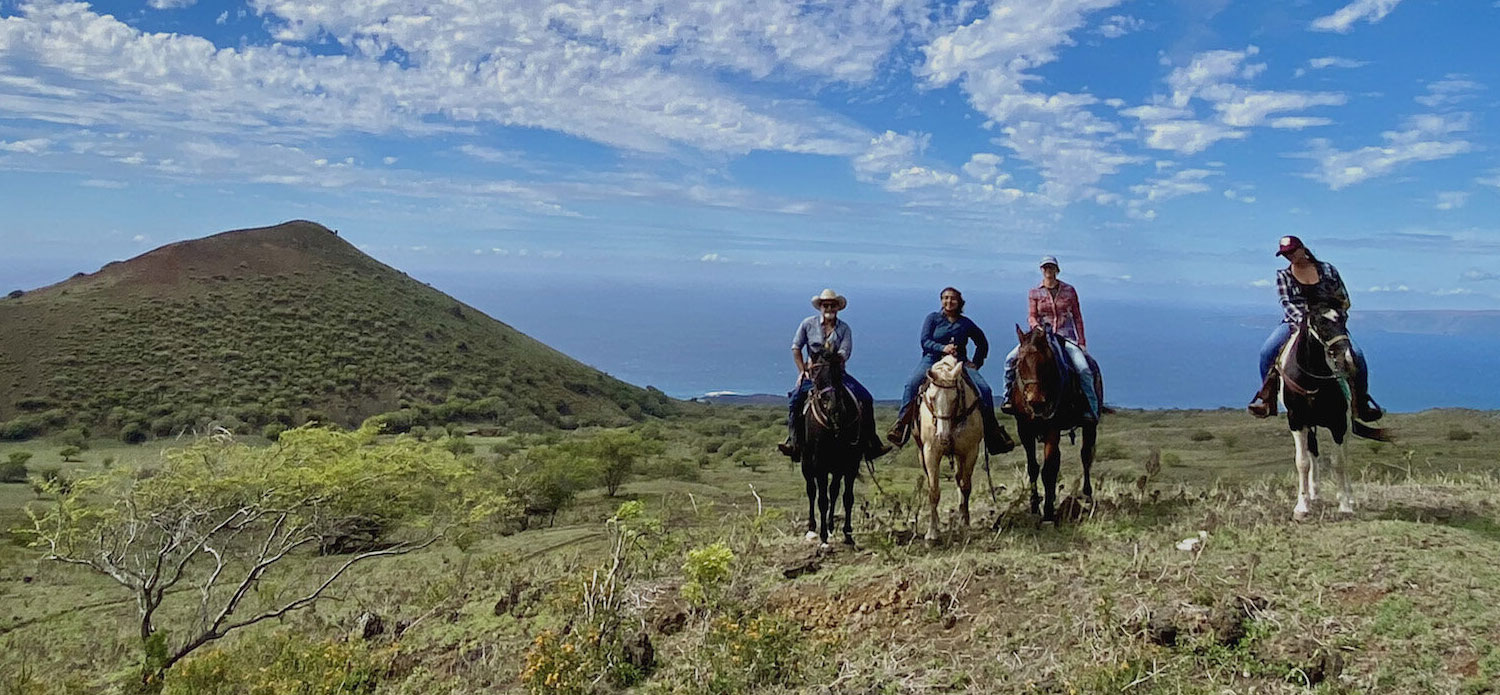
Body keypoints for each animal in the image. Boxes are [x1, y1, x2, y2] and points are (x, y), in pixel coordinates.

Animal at [804, 345, 864, 546]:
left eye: (838, 371)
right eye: (815, 370)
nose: (833, 406)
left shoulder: (850, 463)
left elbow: (847, 497)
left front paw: (848, 534)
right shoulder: (819, 465)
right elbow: (822, 500)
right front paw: (823, 538)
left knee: (834, 491)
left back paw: (831, 527)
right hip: (807, 465)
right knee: (812, 491)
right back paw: (813, 529)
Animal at [912, 358, 984, 543]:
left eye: (955, 398)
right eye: (931, 397)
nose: (942, 436)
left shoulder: (970, 451)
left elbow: (965, 487)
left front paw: (965, 525)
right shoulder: (930, 453)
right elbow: (933, 491)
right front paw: (932, 533)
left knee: (959, 479)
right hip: (922, 455)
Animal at [1008, 327, 1104, 522]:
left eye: (1046, 363)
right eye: (1019, 362)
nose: (1036, 401)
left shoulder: (1052, 429)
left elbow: (1049, 470)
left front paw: (1048, 513)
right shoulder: (1024, 430)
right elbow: (1033, 468)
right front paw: (1035, 507)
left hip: (1090, 426)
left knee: (1086, 456)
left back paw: (1088, 496)